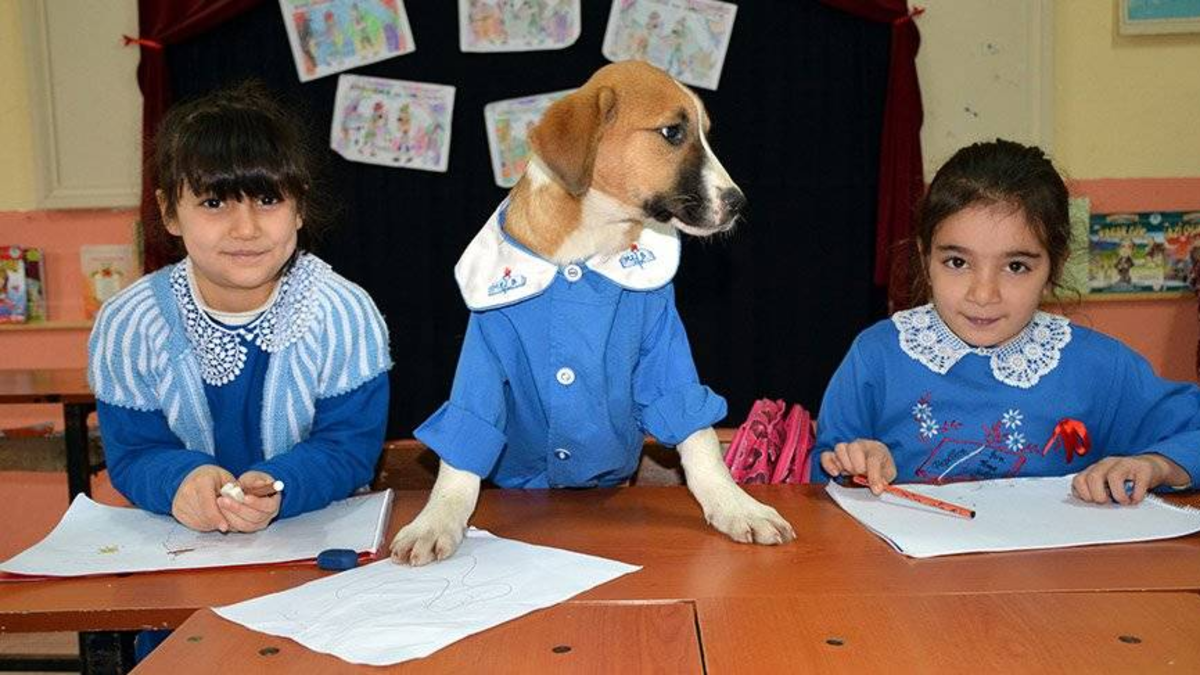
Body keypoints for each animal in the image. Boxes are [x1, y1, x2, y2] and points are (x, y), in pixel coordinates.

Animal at [391, 61, 795, 566]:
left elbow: (699, 437)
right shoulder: (486, 351)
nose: (739, 203)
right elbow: (462, 448)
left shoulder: (665, 347)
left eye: (704, 132)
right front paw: (437, 517)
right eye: (673, 132)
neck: (589, 244)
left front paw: (735, 505)